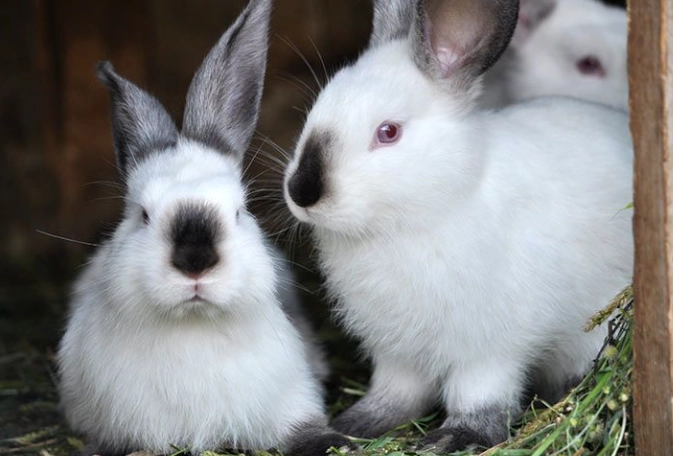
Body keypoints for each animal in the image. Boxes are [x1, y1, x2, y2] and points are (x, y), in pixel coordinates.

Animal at [56, 1, 352, 455]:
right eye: (142, 214)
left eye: (240, 211)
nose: (195, 261)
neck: (193, 328)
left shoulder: (291, 402)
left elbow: (304, 429)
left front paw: (336, 442)